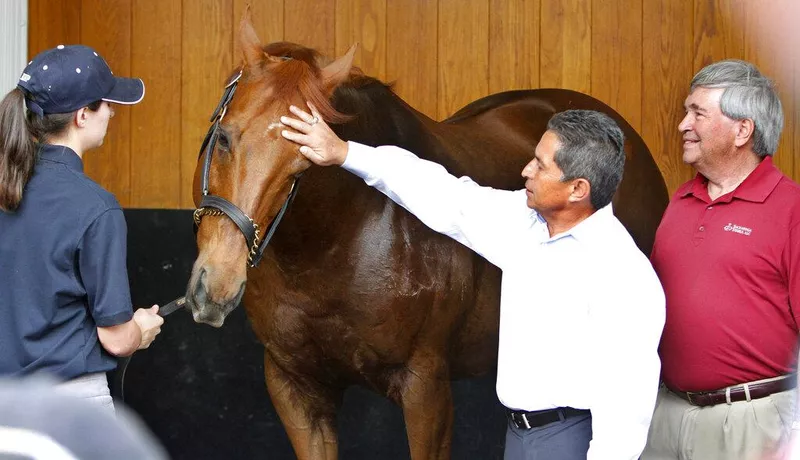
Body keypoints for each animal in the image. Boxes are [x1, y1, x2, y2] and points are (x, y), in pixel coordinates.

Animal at [188, 16, 668, 460]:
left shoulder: (425, 390)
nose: (218, 286)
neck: (335, 245)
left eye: (301, 167)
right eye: (225, 138)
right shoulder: (295, 388)